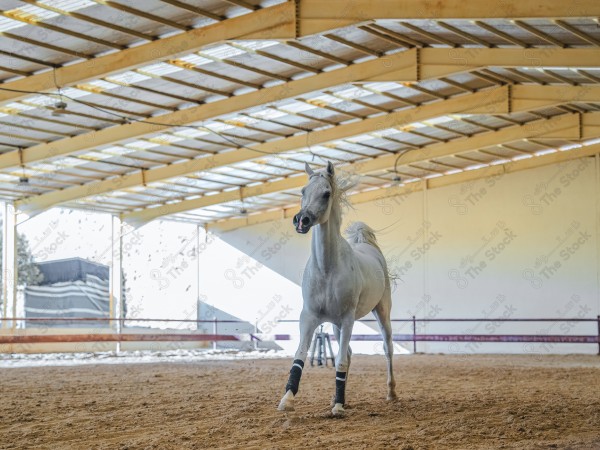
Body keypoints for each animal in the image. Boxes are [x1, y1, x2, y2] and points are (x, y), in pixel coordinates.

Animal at [278, 160, 398, 416]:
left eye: (326, 193)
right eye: (303, 191)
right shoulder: (309, 317)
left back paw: (391, 393)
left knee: (387, 348)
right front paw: (287, 400)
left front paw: (339, 408)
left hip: (382, 312)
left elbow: (340, 360)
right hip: (335, 325)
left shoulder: (347, 318)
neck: (327, 269)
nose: (301, 220)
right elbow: (299, 357)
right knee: (350, 353)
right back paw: (337, 398)